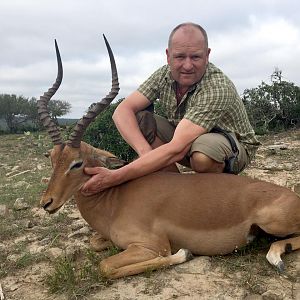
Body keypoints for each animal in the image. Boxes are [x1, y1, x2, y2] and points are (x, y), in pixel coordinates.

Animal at [38, 35, 300, 278]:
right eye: (51, 158)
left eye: (77, 163)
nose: (46, 203)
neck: (114, 200)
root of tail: (293, 197)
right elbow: (95, 243)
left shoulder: (152, 246)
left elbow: (106, 267)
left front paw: (184, 253)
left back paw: (276, 257)